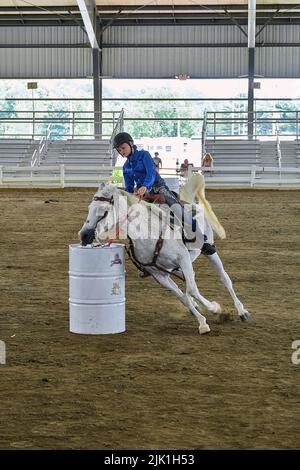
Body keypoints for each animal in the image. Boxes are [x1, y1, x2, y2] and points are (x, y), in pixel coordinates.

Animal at [78, 175, 250, 334]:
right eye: (89, 207)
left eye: (104, 211)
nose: (84, 235)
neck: (148, 234)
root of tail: (190, 203)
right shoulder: (159, 274)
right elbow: (183, 297)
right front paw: (202, 321)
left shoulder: (183, 258)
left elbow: (191, 290)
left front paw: (214, 308)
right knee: (189, 283)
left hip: (209, 250)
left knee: (224, 279)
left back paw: (242, 311)